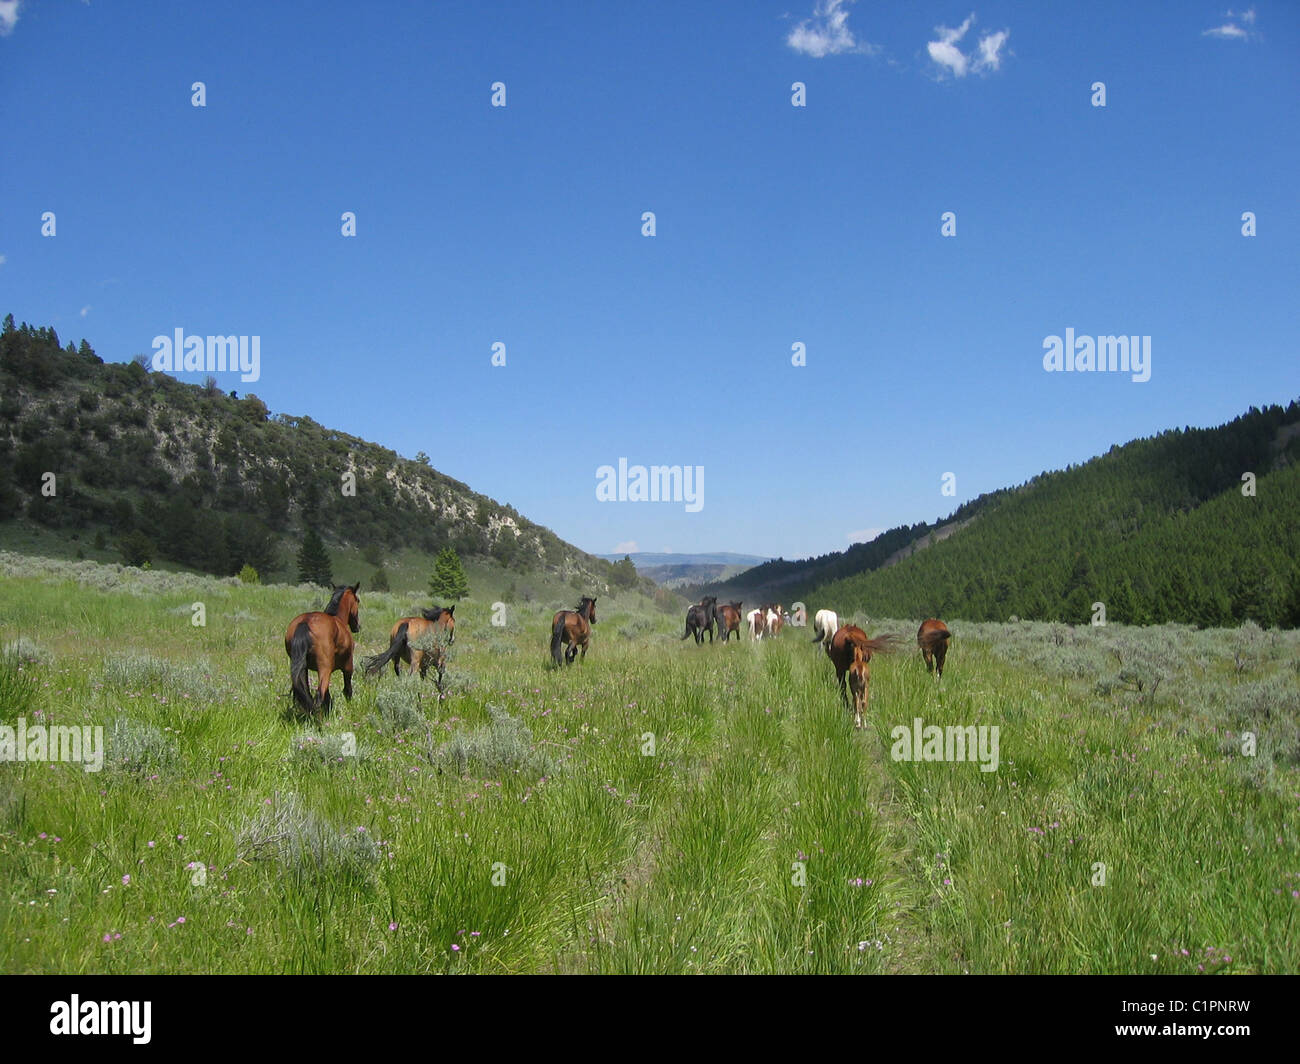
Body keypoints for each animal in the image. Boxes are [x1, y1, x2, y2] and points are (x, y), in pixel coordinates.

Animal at [286, 585, 361, 718]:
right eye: (358, 600)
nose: (357, 626)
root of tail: (305, 623)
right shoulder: (348, 667)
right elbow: (347, 690)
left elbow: (328, 696)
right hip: (325, 669)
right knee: (318, 697)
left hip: (303, 669)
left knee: (308, 694)